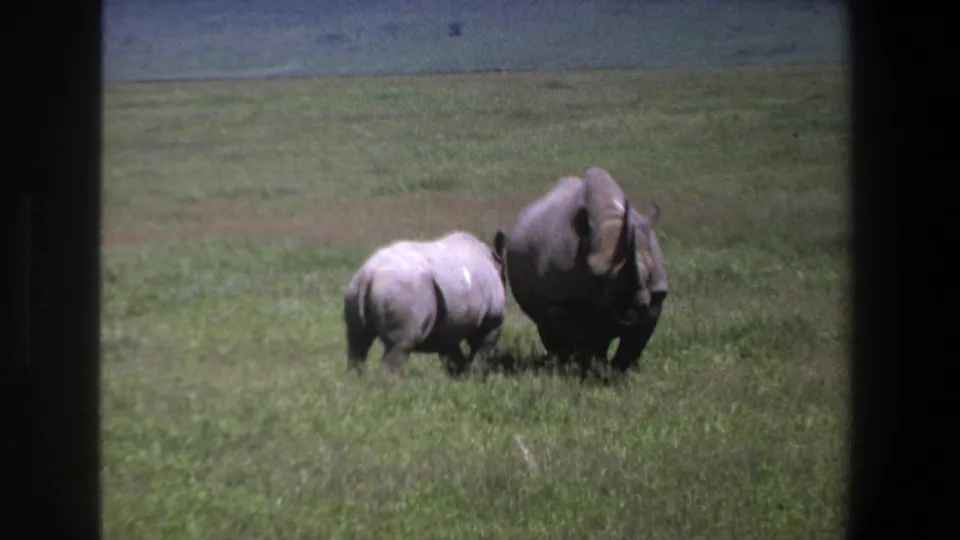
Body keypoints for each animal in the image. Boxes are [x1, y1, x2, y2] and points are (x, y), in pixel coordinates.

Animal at [342, 230, 508, 379]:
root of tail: (369, 274)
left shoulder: (449, 325)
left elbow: (452, 354)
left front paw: (458, 379)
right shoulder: (492, 320)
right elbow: (480, 350)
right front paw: (474, 380)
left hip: (355, 290)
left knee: (357, 342)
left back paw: (356, 386)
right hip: (402, 289)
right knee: (400, 346)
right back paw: (393, 389)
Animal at [499, 167, 668, 379]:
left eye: (649, 274)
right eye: (596, 275)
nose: (628, 315)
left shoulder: (656, 296)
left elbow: (632, 344)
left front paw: (617, 375)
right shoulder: (563, 300)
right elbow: (580, 341)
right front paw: (587, 373)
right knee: (549, 327)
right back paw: (559, 365)